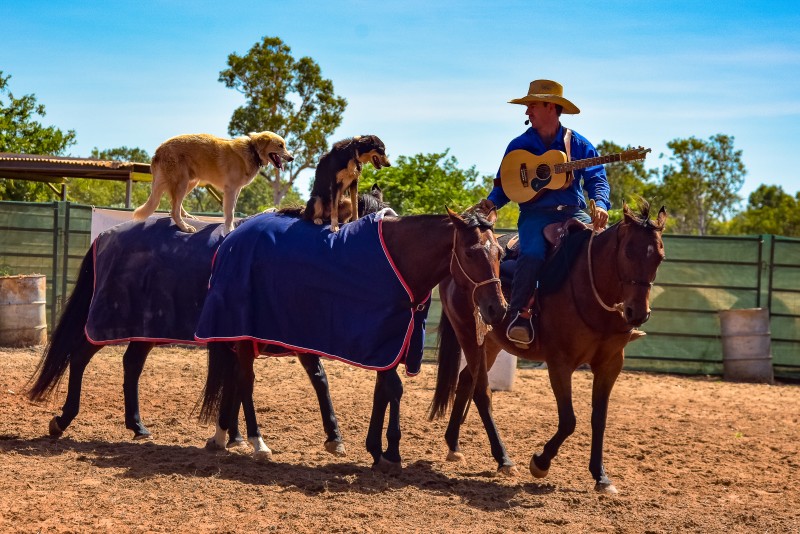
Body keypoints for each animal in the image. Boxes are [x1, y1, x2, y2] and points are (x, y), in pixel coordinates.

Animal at [134, 132, 294, 234]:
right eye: (280, 145)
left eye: (284, 145)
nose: (292, 158)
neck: (252, 150)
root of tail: (158, 150)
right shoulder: (230, 189)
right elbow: (229, 214)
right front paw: (229, 230)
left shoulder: (236, 190)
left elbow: (232, 211)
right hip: (182, 182)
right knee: (174, 210)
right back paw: (185, 227)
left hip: (190, 182)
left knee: (174, 205)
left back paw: (187, 217)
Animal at [197, 209, 504, 474]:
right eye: (469, 252)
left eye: (500, 253)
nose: (496, 308)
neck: (402, 259)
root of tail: (230, 239)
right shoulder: (383, 337)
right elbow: (394, 389)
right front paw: (392, 452)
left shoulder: (393, 342)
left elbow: (383, 391)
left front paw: (376, 449)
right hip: (244, 331)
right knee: (246, 381)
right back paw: (257, 441)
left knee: (244, 378)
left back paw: (225, 435)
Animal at [428, 203, 664, 496]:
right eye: (629, 251)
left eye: (660, 257)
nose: (637, 313)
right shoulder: (560, 363)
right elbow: (569, 420)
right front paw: (540, 463)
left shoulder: (610, 364)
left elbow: (599, 418)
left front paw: (601, 476)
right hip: (469, 335)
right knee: (482, 393)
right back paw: (503, 459)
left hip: (490, 343)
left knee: (465, 382)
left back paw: (454, 445)